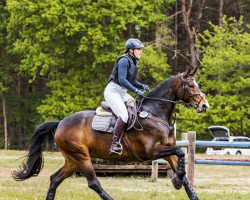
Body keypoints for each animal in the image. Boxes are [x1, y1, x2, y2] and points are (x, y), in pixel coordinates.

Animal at [13, 68, 209, 199]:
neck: (155, 112)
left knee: (55, 179)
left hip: (72, 159)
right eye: (190, 85)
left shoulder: (167, 150)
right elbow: (181, 152)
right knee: (93, 182)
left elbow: (182, 169)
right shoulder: (153, 151)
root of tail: (60, 122)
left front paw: (181, 184)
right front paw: (176, 181)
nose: (204, 105)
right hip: (81, 156)